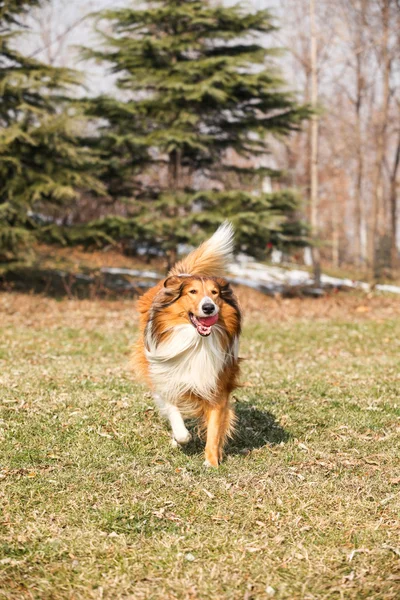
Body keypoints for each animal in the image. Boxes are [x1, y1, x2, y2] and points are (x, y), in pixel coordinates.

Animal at [134, 223, 241, 466]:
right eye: (192, 292)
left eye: (215, 293)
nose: (209, 307)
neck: (196, 342)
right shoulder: (165, 377)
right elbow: (175, 415)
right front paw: (179, 438)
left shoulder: (216, 384)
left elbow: (215, 428)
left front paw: (211, 461)